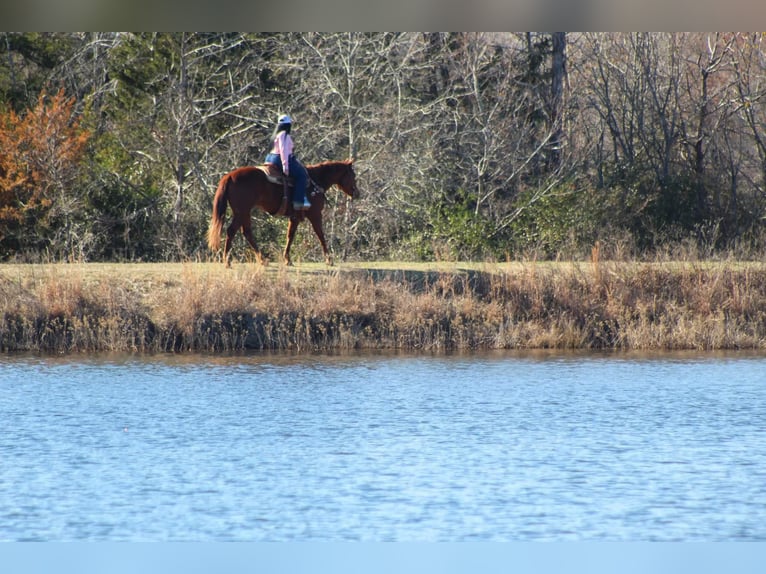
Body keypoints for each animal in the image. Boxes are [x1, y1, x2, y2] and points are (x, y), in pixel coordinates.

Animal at [206, 160, 358, 268]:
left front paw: (287, 260)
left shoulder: (295, 217)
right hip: (241, 212)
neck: (315, 181)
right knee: (232, 231)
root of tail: (229, 176)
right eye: (353, 175)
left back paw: (262, 260)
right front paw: (329, 259)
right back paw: (228, 261)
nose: (357, 193)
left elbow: (290, 236)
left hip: (244, 212)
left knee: (246, 232)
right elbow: (320, 235)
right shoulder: (315, 215)